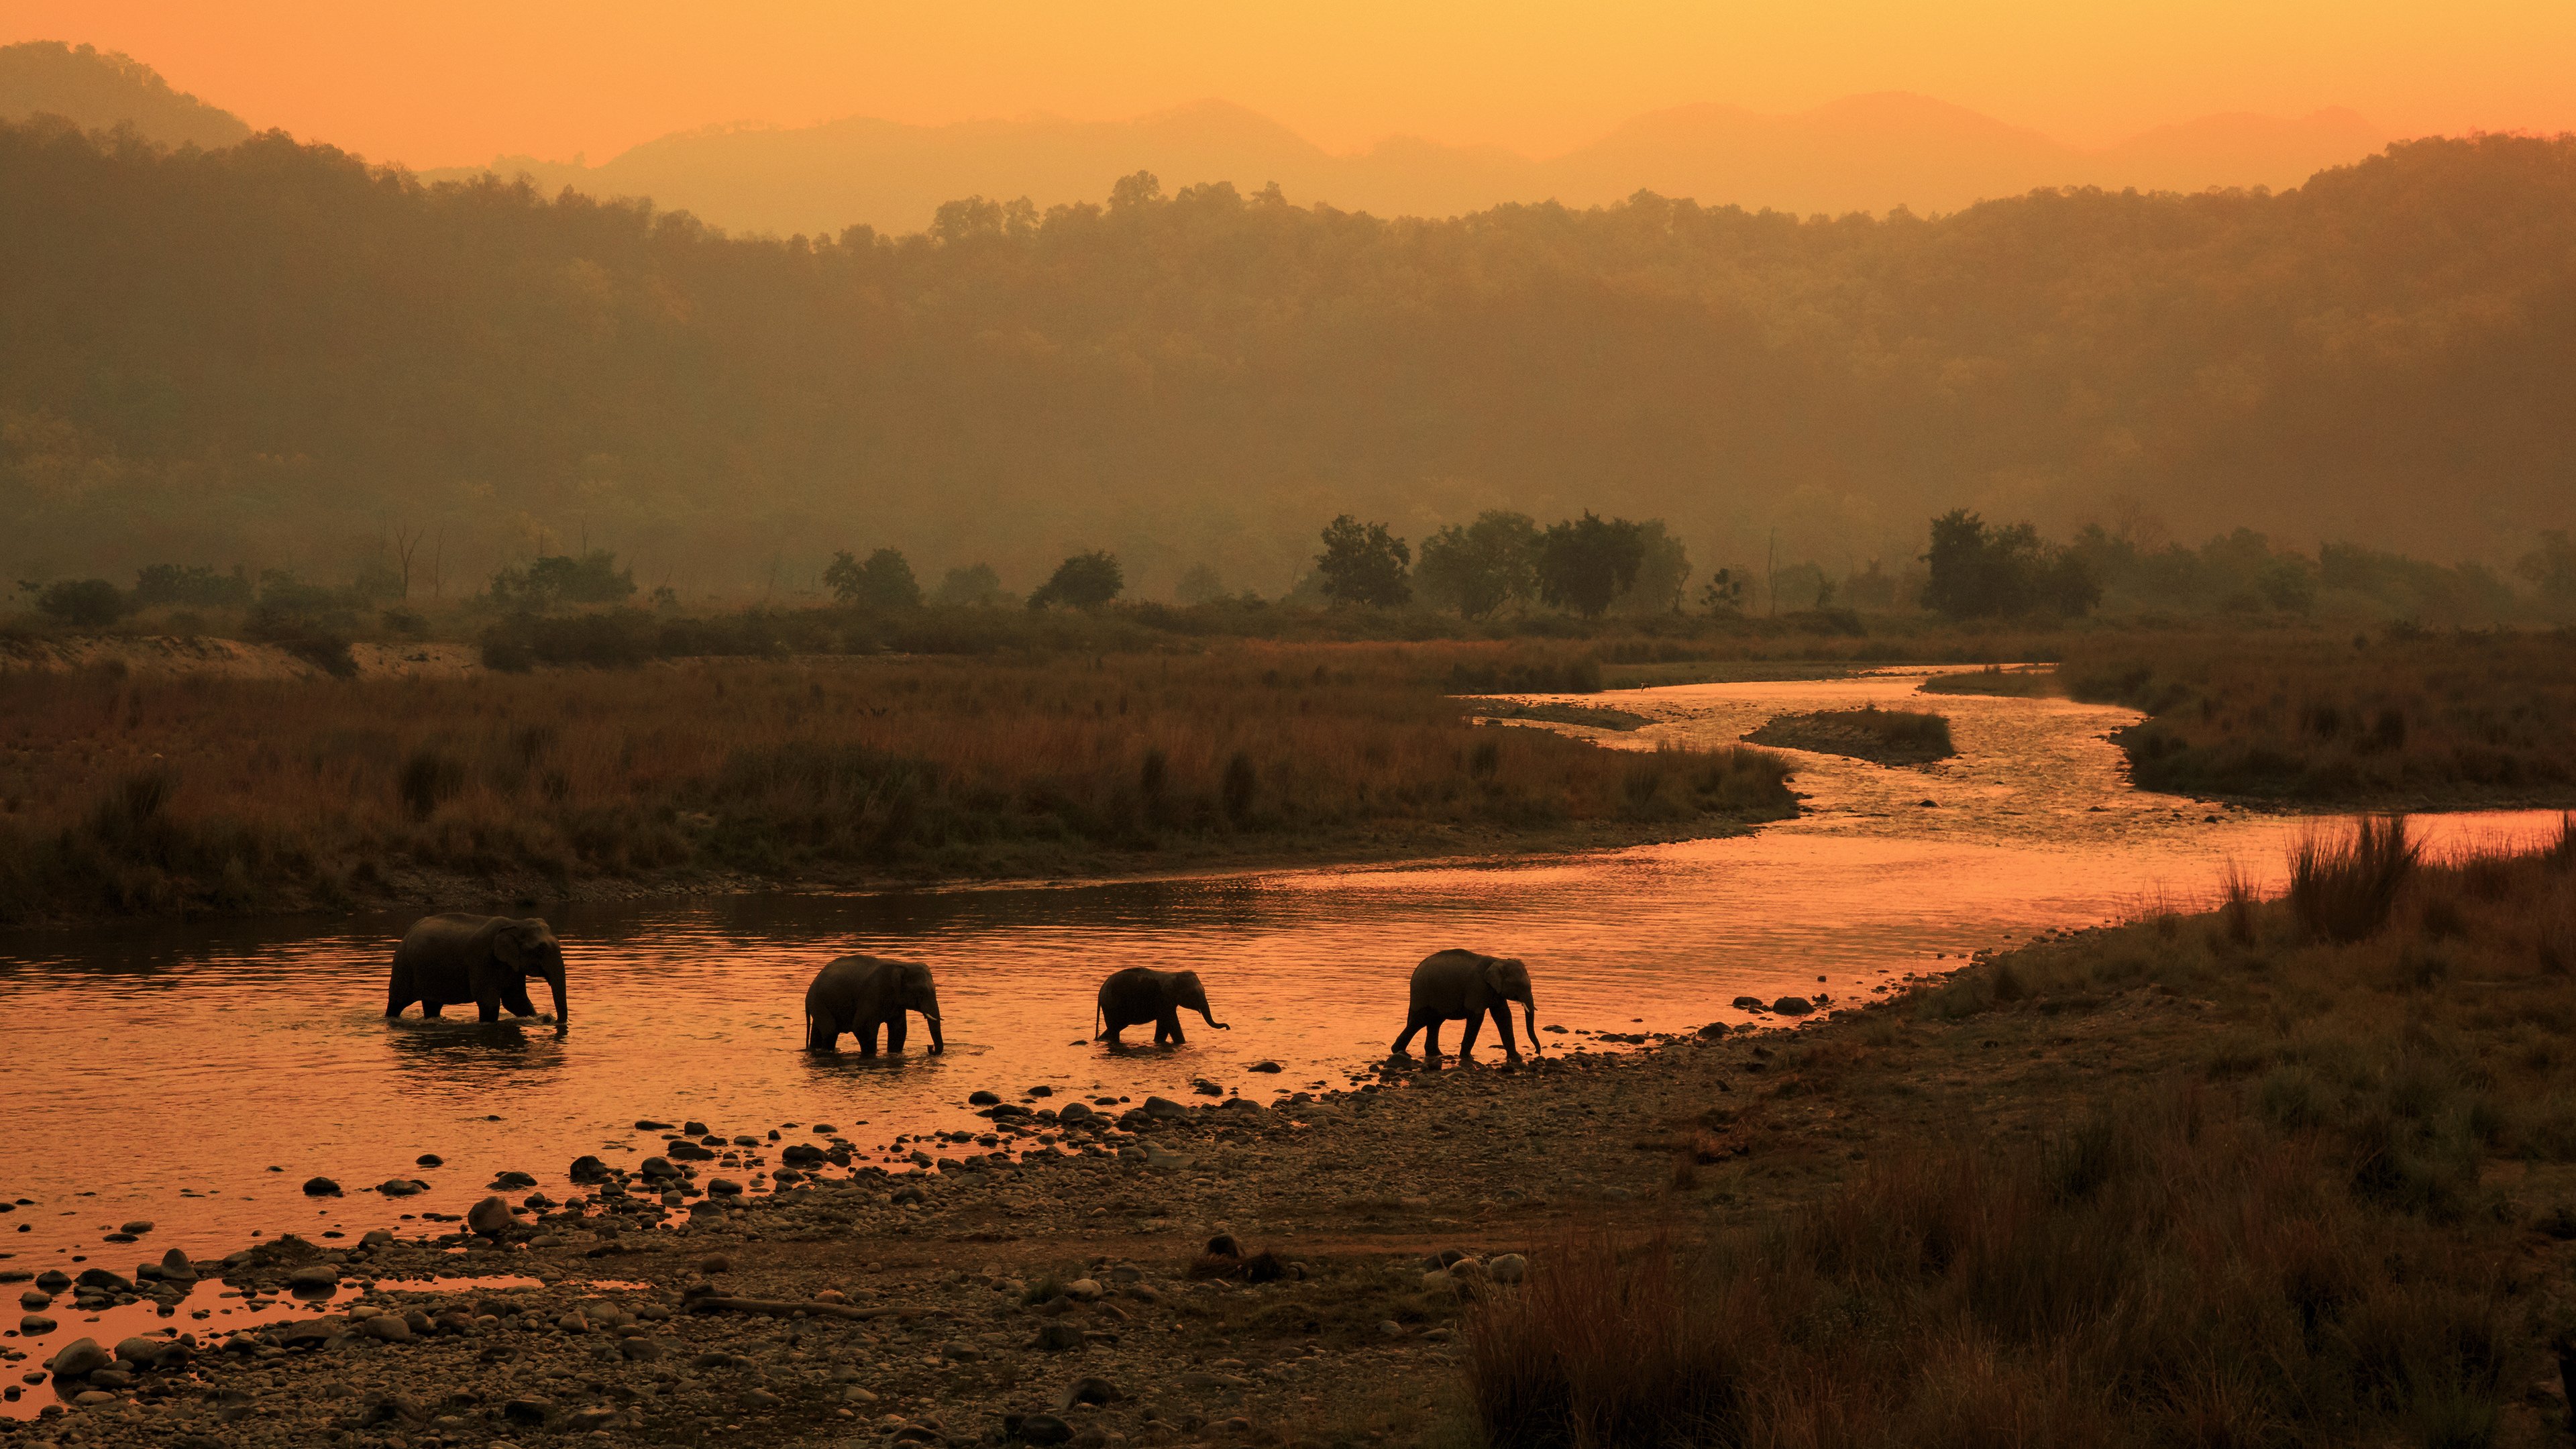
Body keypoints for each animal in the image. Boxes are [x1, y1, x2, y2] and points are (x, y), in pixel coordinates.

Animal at [384, 907, 566, 1020]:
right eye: (541, 949)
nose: (549, 1018)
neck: (515, 923)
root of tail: (408, 933)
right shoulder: (482, 959)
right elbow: (489, 1002)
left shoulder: (513, 966)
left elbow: (516, 1000)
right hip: (403, 965)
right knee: (397, 1003)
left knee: (432, 1005)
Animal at [804, 949, 948, 1046]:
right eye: (921, 992)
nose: (930, 1047)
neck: (902, 965)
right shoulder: (872, 993)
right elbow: (863, 1029)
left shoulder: (897, 1003)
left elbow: (899, 1032)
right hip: (817, 1002)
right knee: (830, 1031)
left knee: (818, 1032)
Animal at [1092, 964, 1231, 1041]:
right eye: (1194, 994)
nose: (1228, 1028)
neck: (1174, 974)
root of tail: (1100, 992)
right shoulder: (1164, 1000)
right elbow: (1171, 1023)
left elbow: (1163, 1025)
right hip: (1112, 1005)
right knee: (1115, 1029)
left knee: (1117, 1027)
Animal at [1391, 949, 1525, 1062]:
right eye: (1518, 985)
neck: (1498, 961)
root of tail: (1415, 971)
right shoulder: (1477, 987)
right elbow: (1477, 1017)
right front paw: (1468, 1058)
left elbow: (1503, 1015)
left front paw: (1517, 1058)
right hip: (1422, 992)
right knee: (1420, 1020)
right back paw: (1400, 1052)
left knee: (1434, 1022)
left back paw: (1436, 1054)